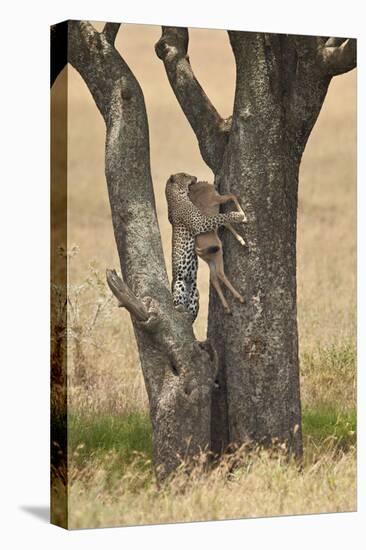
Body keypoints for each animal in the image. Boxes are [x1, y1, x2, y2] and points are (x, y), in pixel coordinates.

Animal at [166, 171, 246, 320]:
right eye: (184, 175)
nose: (194, 177)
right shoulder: (205, 218)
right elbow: (229, 202)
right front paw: (241, 216)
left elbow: (224, 220)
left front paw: (240, 237)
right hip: (209, 259)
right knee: (219, 274)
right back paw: (239, 298)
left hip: (204, 272)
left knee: (213, 280)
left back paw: (226, 308)